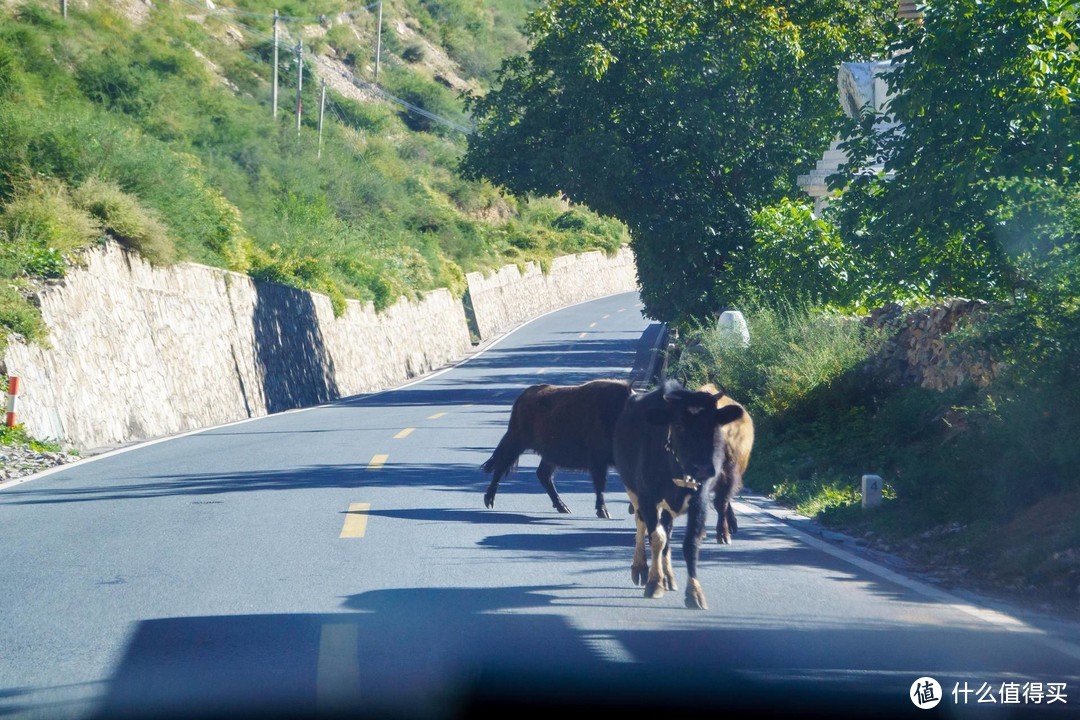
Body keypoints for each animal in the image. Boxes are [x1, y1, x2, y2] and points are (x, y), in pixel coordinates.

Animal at [481, 377, 630, 518]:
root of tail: (524, 396)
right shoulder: (598, 461)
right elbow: (600, 485)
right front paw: (603, 512)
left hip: (547, 455)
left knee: (542, 474)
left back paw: (563, 507)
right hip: (516, 443)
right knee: (501, 465)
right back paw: (489, 501)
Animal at [613, 379, 747, 613]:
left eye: (713, 425)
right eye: (678, 426)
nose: (703, 468)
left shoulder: (699, 502)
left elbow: (690, 543)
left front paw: (694, 593)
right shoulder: (648, 498)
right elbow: (656, 538)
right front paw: (654, 583)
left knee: (667, 531)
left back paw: (668, 577)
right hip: (634, 492)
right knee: (642, 525)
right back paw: (640, 569)